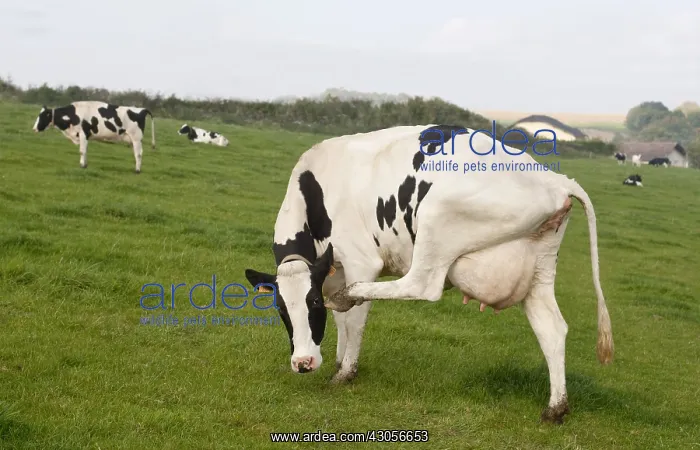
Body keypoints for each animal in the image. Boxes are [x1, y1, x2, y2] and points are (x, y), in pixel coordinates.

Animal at [244, 124, 614, 425]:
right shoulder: (331, 271)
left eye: (314, 304)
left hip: (437, 218)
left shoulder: (359, 261)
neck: (315, 194)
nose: (303, 362)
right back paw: (555, 407)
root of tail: (553, 178)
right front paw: (337, 359)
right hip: (539, 270)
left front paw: (345, 371)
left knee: (421, 284)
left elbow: (354, 319)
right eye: (281, 309)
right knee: (552, 329)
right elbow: (341, 322)